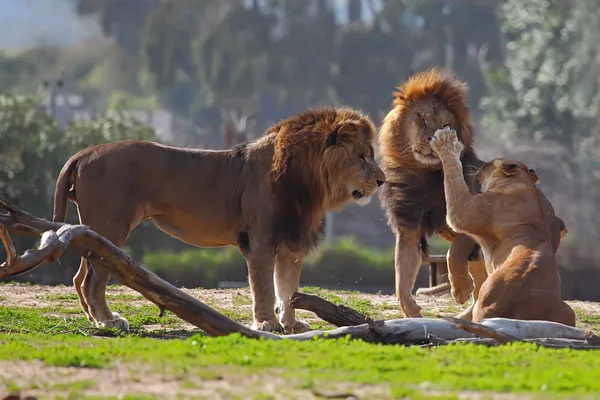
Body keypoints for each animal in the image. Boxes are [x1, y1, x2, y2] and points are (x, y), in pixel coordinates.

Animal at [54, 106, 386, 334]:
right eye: (362, 157)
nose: (382, 180)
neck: (310, 185)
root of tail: (84, 152)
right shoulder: (260, 241)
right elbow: (264, 288)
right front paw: (266, 323)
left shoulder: (291, 245)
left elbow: (288, 288)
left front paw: (291, 325)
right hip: (111, 228)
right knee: (93, 279)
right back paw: (108, 321)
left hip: (94, 231)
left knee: (80, 277)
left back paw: (94, 319)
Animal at [428, 126, 576, 326]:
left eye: (488, 165)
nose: (480, 166)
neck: (523, 186)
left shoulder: (463, 212)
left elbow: (453, 174)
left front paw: (447, 143)